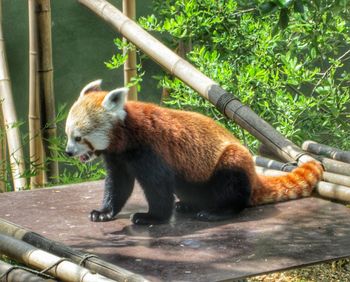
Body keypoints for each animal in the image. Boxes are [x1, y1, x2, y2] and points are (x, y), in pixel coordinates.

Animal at [65, 80, 322, 226]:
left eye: (78, 138)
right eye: (67, 134)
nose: (68, 152)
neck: (126, 136)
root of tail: (254, 175)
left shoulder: (151, 148)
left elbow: (158, 186)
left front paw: (152, 217)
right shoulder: (118, 157)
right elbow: (118, 185)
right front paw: (104, 212)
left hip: (232, 161)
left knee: (232, 185)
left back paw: (219, 212)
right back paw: (190, 206)